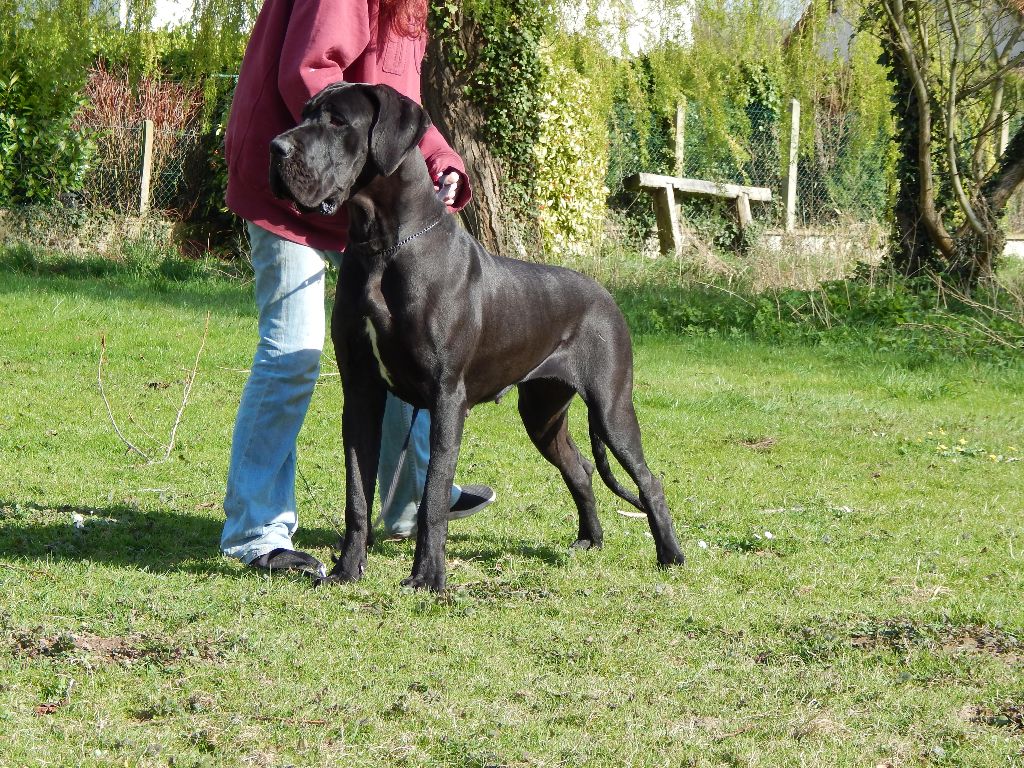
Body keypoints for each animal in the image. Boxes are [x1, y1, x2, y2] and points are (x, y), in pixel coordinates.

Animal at [270, 82, 688, 589]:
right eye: (304, 113)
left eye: (336, 121)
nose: (275, 148)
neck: (382, 246)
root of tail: (606, 295)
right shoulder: (362, 392)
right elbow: (357, 493)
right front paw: (347, 570)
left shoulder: (446, 397)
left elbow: (433, 496)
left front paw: (428, 578)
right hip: (543, 414)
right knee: (581, 470)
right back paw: (590, 539)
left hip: (611, 408)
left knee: (649, 480)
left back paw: (670, 554)